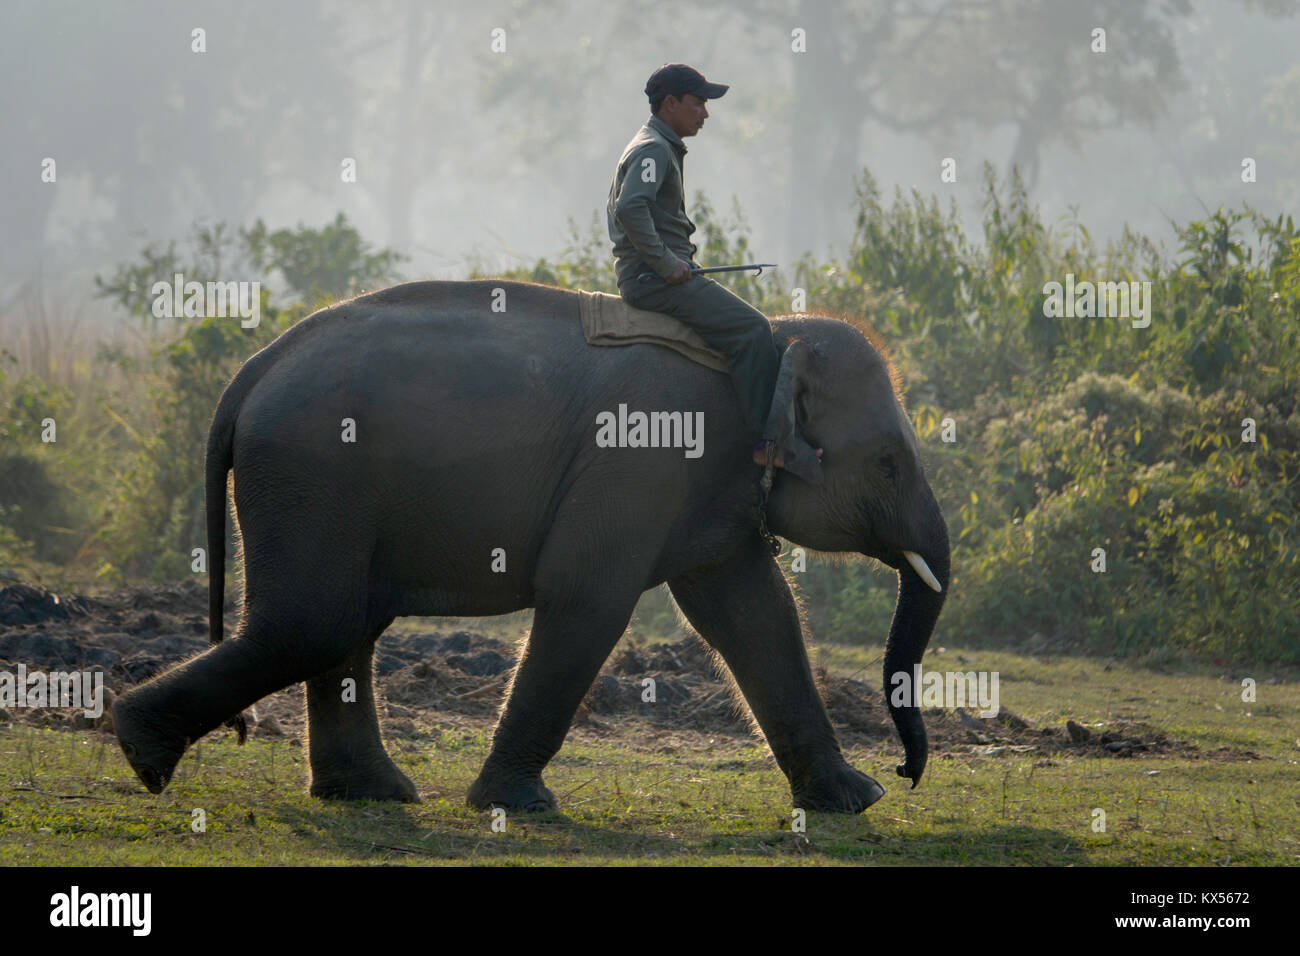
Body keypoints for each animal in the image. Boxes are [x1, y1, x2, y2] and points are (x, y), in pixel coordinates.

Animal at [111, 278, 951, 816]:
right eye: (888, 463)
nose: (907, 771)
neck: (770, 335)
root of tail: (253, 370)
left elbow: (755, 614)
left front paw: (855, 802)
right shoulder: (641, 456)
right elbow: (587, 596)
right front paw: (515, 805)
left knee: (342, 624)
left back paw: (371, 793)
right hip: (311, 473)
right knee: (312, 622)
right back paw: (142, 753)